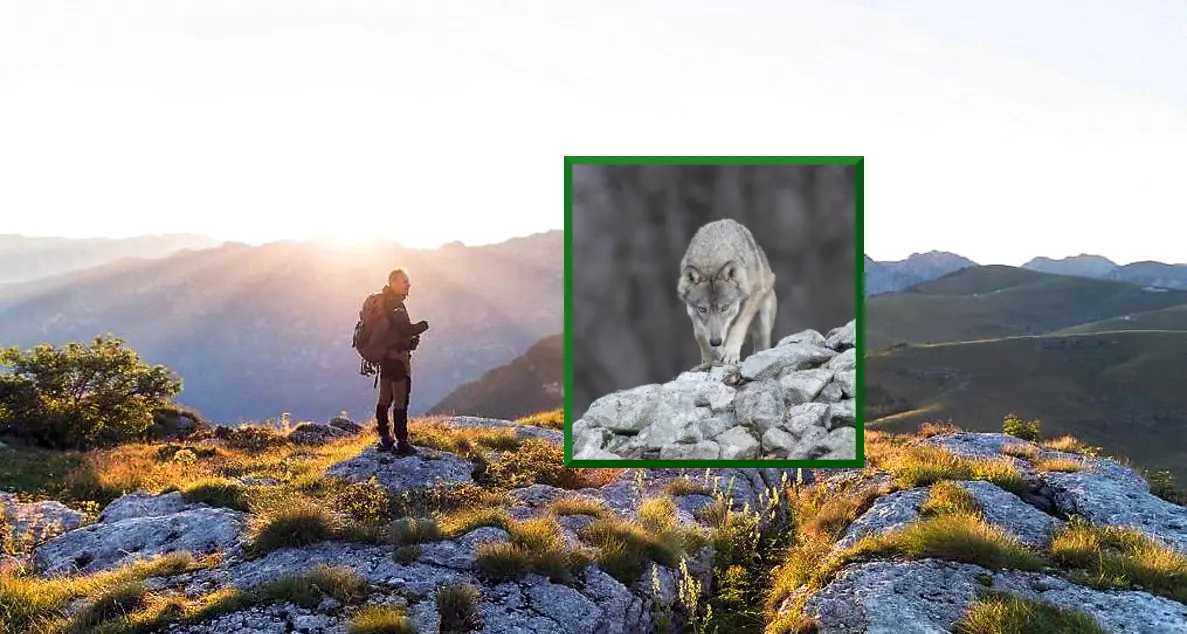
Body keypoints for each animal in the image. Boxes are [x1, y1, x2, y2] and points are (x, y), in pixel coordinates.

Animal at [677, 218, 777, 368]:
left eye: (725, 307)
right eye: (702, 309)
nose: (716, 341)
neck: (711, 261)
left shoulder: (756, 293)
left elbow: (738, 325)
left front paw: (730, 353)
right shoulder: (691, 310)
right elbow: (699, 334)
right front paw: (711, 355)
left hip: (763, 324)